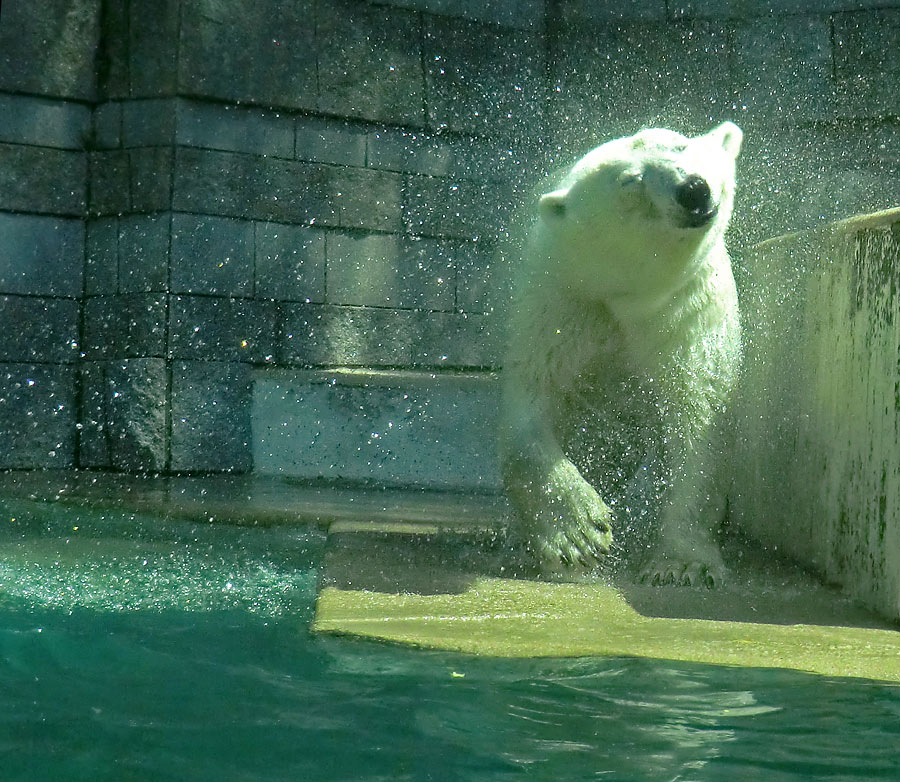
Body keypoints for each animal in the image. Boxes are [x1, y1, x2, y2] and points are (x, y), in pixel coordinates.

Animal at [496, 121, 740, 588]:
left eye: (681, 146)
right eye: (631, 181)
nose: (693, 189)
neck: (622, 292)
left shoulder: (688, 310)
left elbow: (698, 417)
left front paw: (682, 564)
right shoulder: (558, 297)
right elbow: (532, 397)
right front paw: (577, 535)